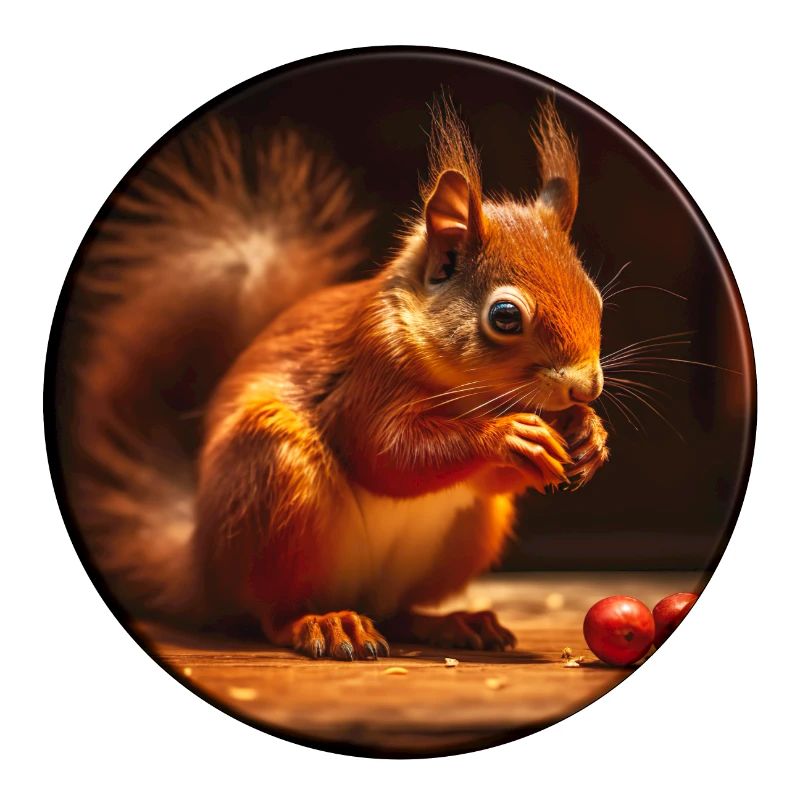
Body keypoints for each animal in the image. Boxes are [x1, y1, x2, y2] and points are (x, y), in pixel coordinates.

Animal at [65, 97, 609, 660]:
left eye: (595, 297)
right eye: (504, 317)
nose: (587, 387)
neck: (470, 394)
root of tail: (202, 568)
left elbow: (482, 478)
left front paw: (587, 433)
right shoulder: (366, 374)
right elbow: (386, 453)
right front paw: (508, 436)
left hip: (466, 534)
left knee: (398, 610)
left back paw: (453, 622)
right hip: (274, 478)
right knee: (270, 611)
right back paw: (325, 623)